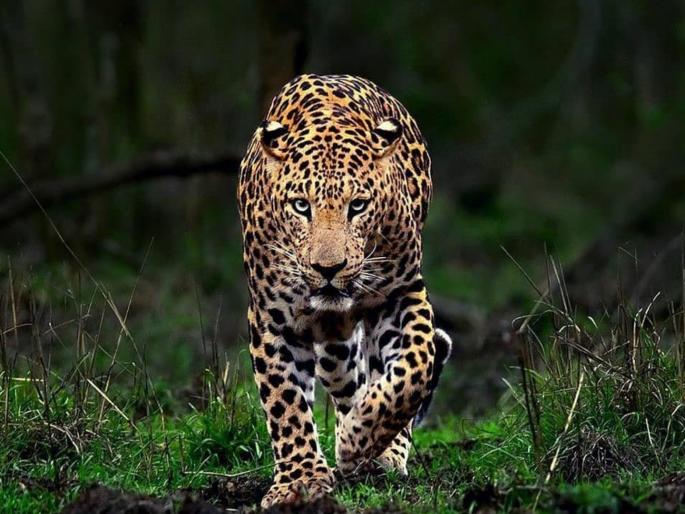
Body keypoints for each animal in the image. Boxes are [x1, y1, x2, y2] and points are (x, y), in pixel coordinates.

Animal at [237, 74, 452, 508]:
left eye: (358, 206)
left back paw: (380, 451)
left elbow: (415, 367)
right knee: (346, 380)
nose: (328, 269)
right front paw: (299, 482)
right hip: (334, 345)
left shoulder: (402, 293)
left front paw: (358, 440)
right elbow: (285, 402)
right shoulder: (271, 317)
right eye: (301, 206)